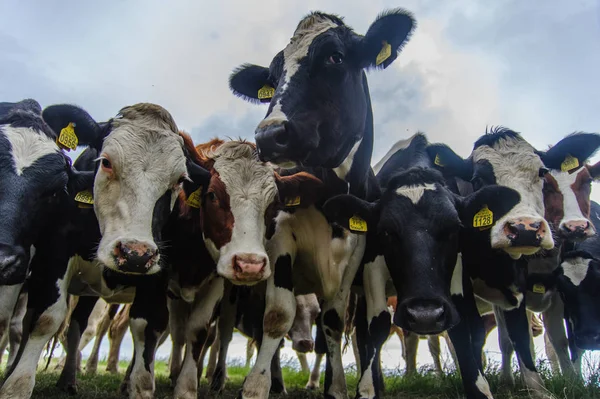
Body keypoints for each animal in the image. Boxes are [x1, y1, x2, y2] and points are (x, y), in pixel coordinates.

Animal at [0, 104, 211, 399]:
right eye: (107, 162)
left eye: (179, 179)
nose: (134, 254)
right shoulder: (55, 256)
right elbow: (45, 318)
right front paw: (16, 386)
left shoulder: (156, 274)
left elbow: (147, 329)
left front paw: (139, 387)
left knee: (78, 325)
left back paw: (71, 378)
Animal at [230, 7, 418, 398]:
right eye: (273, 78)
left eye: (335, 57)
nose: (269, 134)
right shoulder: (280, 239)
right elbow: (278, 317)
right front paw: (256, 387)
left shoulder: (356, 255)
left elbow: (333, 322)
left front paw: (338, 388)